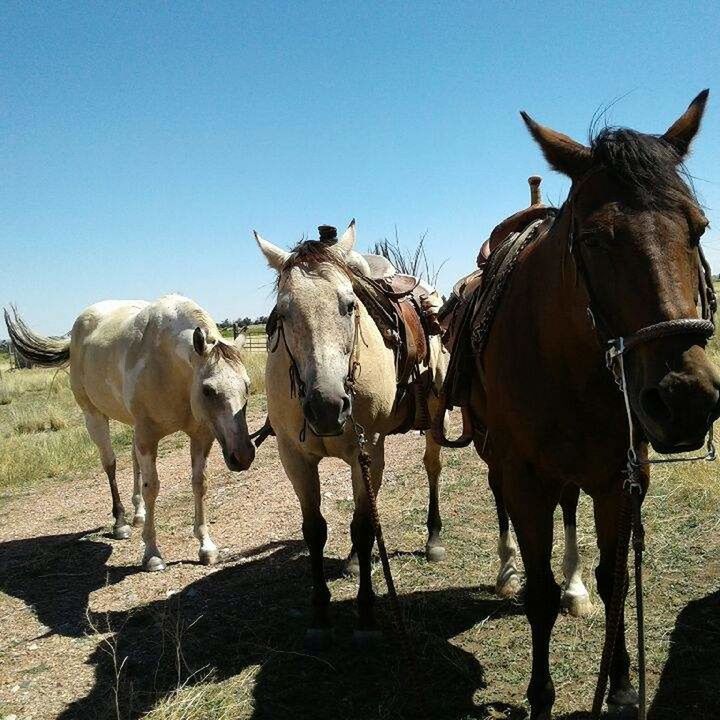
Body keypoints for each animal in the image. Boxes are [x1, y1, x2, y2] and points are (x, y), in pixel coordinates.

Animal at [2, 296, 255, 572]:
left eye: (247, 386)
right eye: (208, 390)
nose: (243, 455)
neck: (167, 364)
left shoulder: (200, 436)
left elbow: (200, 484)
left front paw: (205, 546)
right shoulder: (147, 436)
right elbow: (152, 487)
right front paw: (152, 554)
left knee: (133, 462)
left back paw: (139, 515)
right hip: (94, 417)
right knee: (110, 465)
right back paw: (121, 523)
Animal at [252, 224, 444, 648]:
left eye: (349, 304)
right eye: (283, 313)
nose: (327, 406)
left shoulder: (366, 449)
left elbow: (363, 527)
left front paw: (366, 615)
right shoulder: (295, 458)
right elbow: (315, 530)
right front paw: (320, 613)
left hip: (435, 416)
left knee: (432, 468)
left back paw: (434, 539)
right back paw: (356, 561)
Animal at [436, 88, 716, 716]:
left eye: (699, 228)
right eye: (593, 238)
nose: (684, 399)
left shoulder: (621, 477)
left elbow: (617, 579)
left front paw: (622, 684)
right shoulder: (525, 478)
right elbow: (538, 593)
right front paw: (540, 696)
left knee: (569, 512)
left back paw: (574, 584)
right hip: (495, 456)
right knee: (501, 505)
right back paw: (507, 570)